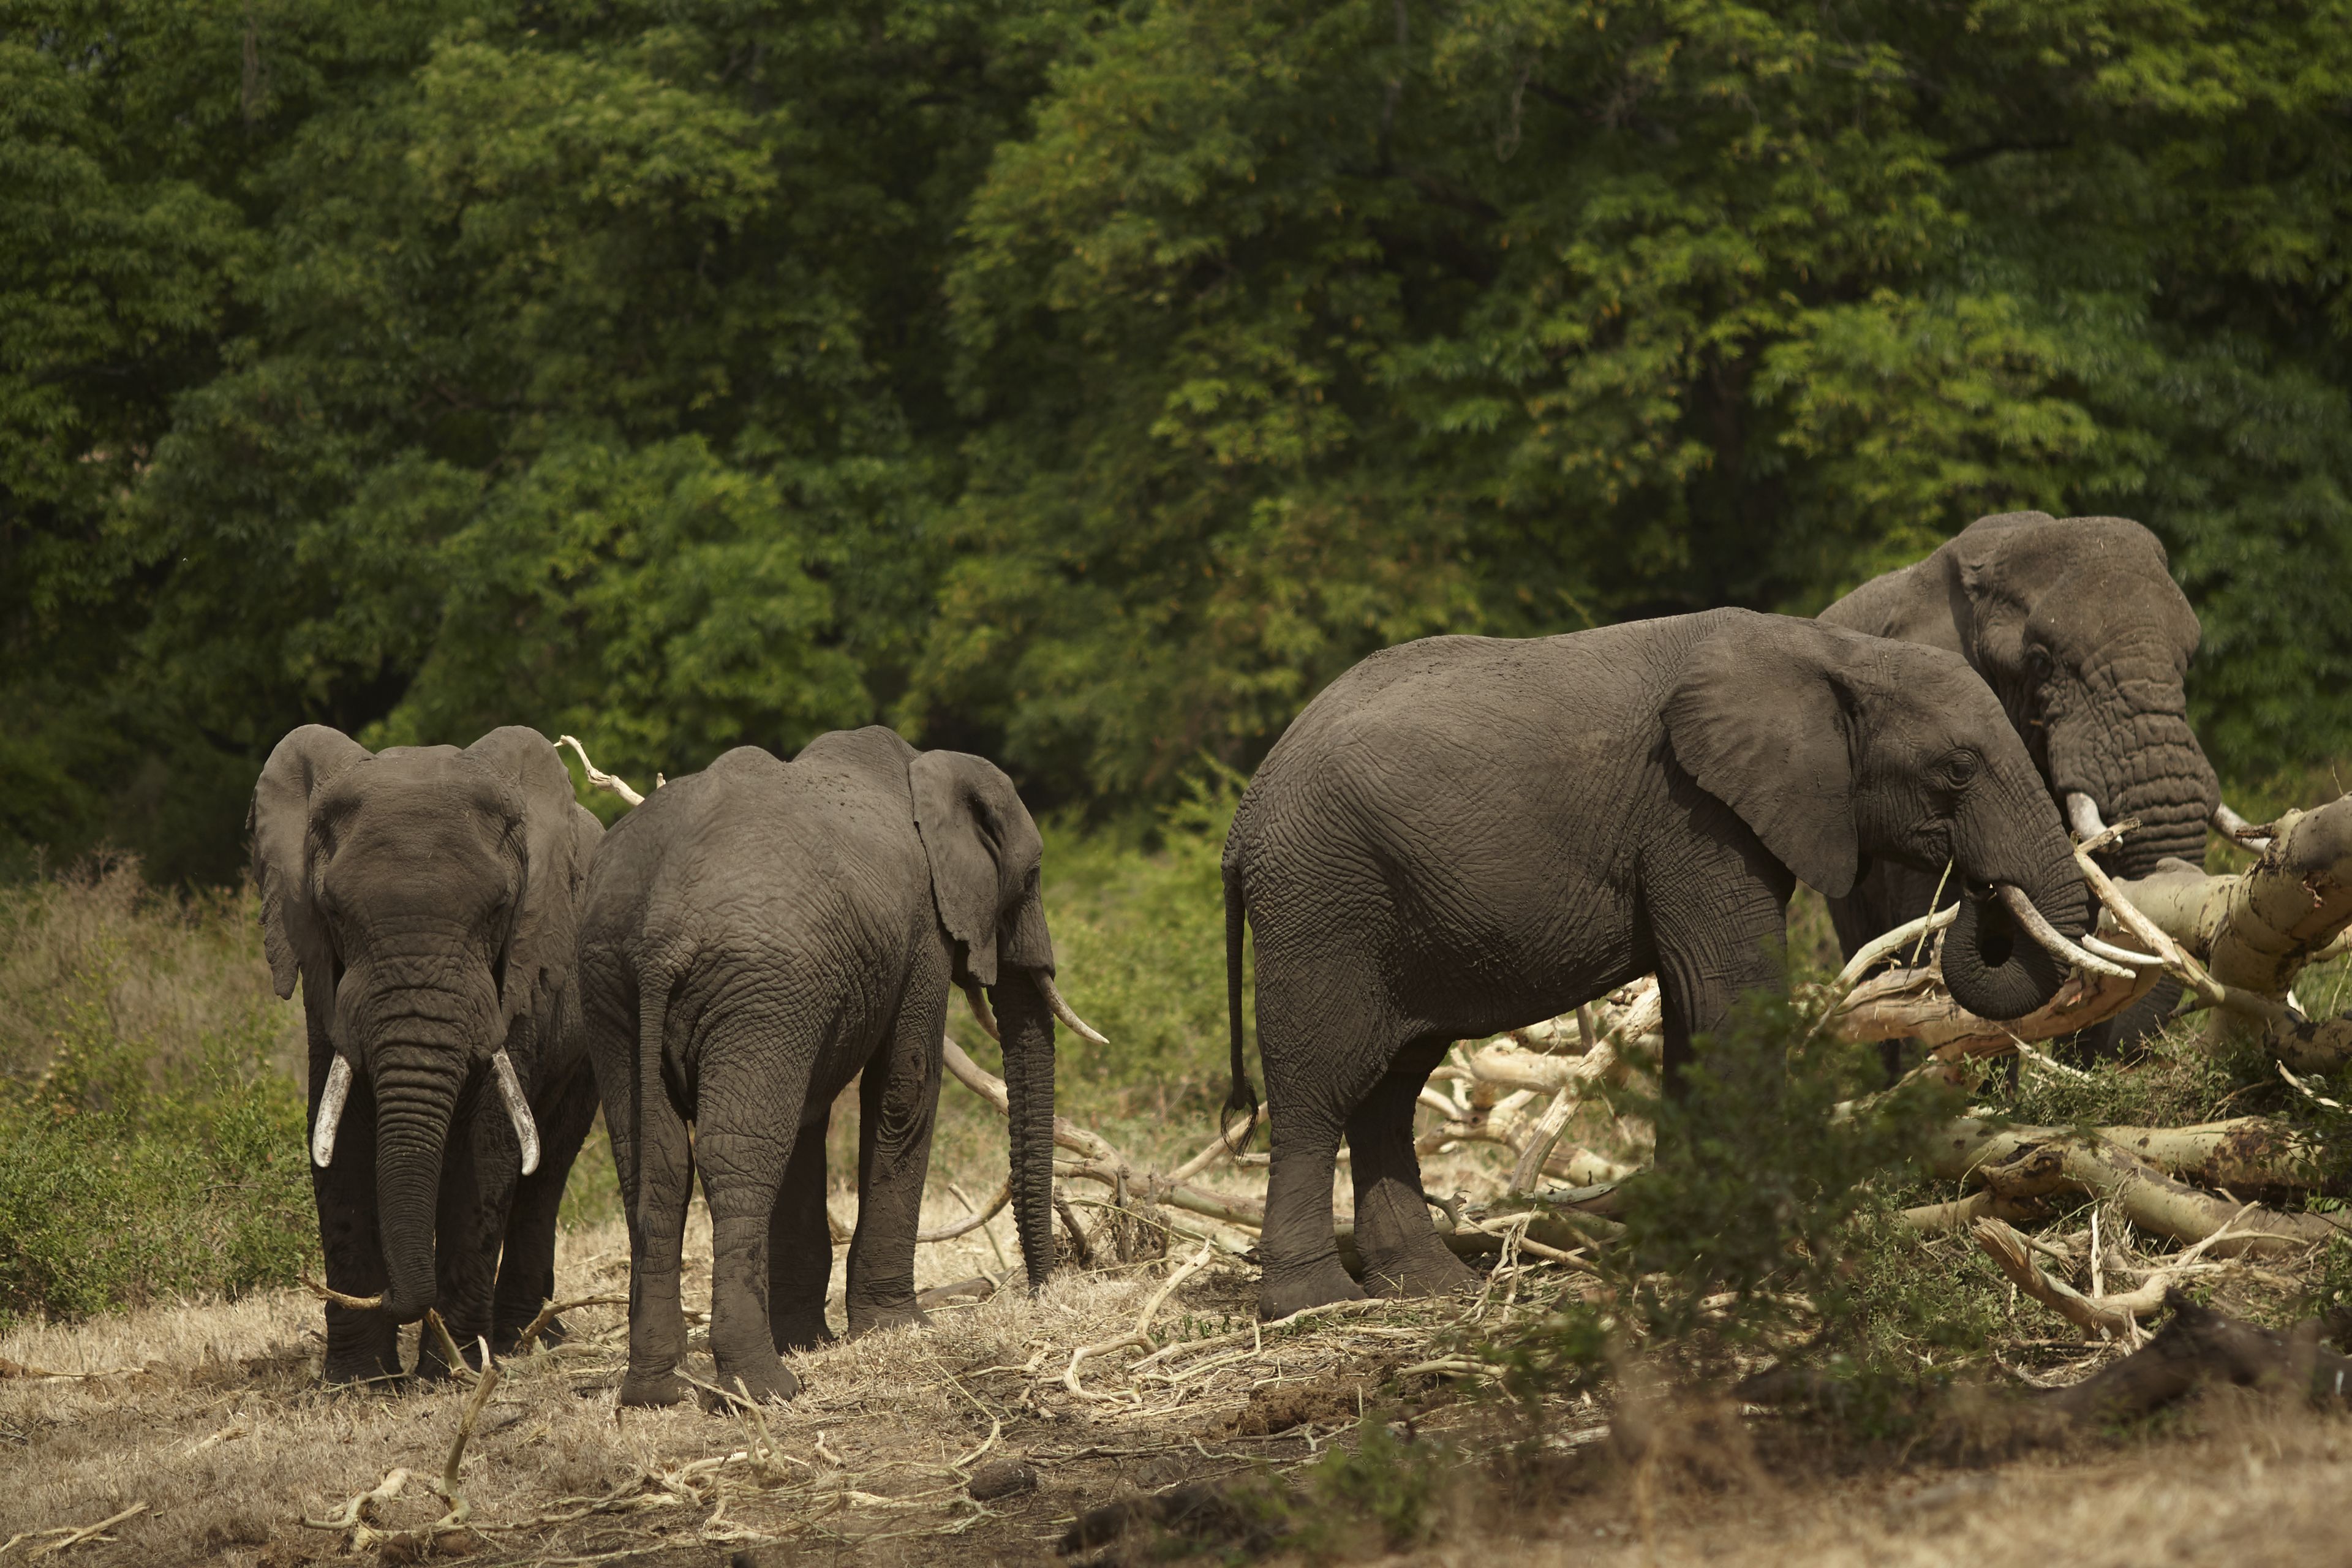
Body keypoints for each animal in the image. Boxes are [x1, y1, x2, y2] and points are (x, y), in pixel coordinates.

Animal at [251, 725, 604, 1383]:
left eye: (498, 910)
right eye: (332, 911)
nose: (396, 1299)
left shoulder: (516, 980)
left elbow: (489, 1148)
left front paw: (453, 1372)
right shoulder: (326, 985)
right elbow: (338, 1138)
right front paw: (358, 1382)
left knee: (548, 1169)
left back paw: (525, 1340)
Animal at [576, 725, 1101, 1408]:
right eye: (1033, 874)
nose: (1041, 1291)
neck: (922, 766)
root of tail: (658, 930)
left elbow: (807, 1117)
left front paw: (810, 1340)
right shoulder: (921, 928)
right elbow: (907, 1086)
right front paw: (899, 1329)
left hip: (613, 983)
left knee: (656, 1163)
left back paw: (655, 1394)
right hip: (755, 983)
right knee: (737, 1154)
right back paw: (764, 1388)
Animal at [1219, 608, 2106, 1322]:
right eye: (1957, 768)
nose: (1981, 888)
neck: (1827, 651)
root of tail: (1245, 812)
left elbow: (1696, 1020)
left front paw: (1686, 1249)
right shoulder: (1695, 816)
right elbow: (1731, 998)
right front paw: (1769, 1258)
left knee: (1391, 1090)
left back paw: (1430, 1289)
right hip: (1323, 903)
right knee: (1318, 1090)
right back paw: (1315, 1305)